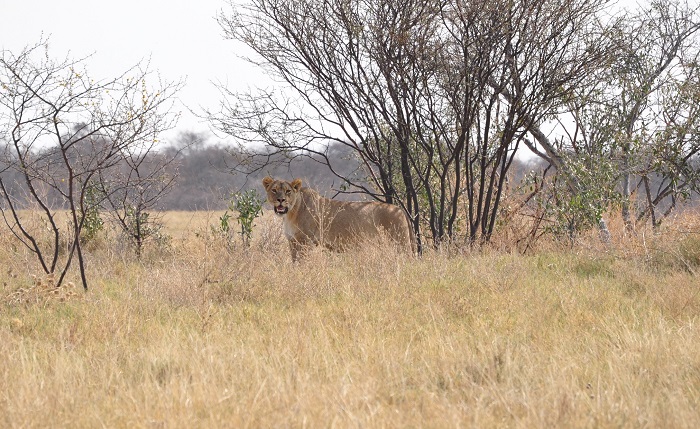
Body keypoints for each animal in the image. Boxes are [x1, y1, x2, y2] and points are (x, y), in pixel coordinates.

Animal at [262, 176, 416, 260]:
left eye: (288, 191)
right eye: (274, 190)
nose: (281, 200)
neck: (291, 213)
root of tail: (401, 210)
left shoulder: (306, 242)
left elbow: (302, 263)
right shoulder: (293, 242)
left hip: (400, 243)